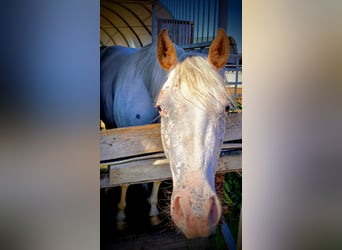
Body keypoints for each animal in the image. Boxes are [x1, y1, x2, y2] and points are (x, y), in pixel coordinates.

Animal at [100, 27, 231, 238]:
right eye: (161, 108)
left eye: (226, 108)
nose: (197, 215)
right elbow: (124, 179)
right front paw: (120, 218)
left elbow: (156, 177)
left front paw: (153, 211)